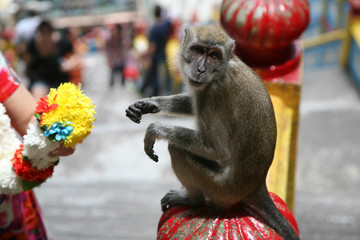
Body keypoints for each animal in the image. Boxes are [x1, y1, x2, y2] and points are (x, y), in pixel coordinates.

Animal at [125, 25, 300, 239]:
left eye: (214, 55)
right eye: (199, 50)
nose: (200, 69)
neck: (222, 70)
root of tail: (257, 186)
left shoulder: (213, 93)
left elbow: (217, 149)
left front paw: (155, 129)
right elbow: (193, 102)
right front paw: (150, 103)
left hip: (221, 190)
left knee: (177, 149)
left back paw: (193, 199)